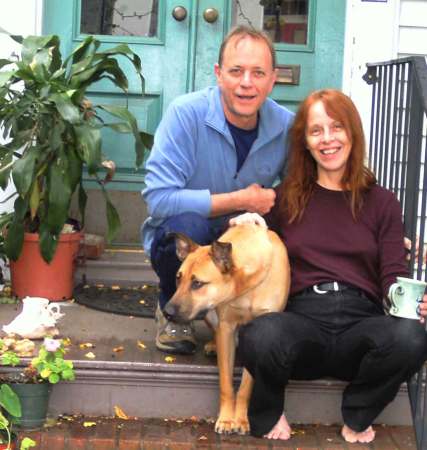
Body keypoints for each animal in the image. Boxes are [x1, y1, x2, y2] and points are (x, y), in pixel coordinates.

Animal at [164, 223, 290, 434]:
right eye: (178, 279)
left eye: (197, 283)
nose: (167, 312)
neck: (247, 283)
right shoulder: (226, 328)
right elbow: (226, 383)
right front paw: (226, 419)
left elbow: (246, 387)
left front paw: (241, 419)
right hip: (209, 313)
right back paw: (212, 345)